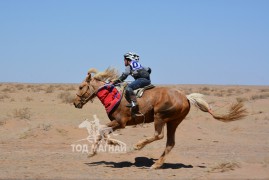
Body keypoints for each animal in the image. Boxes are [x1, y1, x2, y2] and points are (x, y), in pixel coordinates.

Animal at [73, 67, 247, 169]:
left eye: (81, 87)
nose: (75, 103)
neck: (113, 96)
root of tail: (186, 97)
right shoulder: (117, 123)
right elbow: (101, 131)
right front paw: (93, 152)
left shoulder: (121, 122)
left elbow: (101, 130)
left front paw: (113, 143)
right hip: (173, 122)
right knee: (170, 142)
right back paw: (156, 164)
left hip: (160, 117)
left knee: (159, 135)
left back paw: (138, 146)